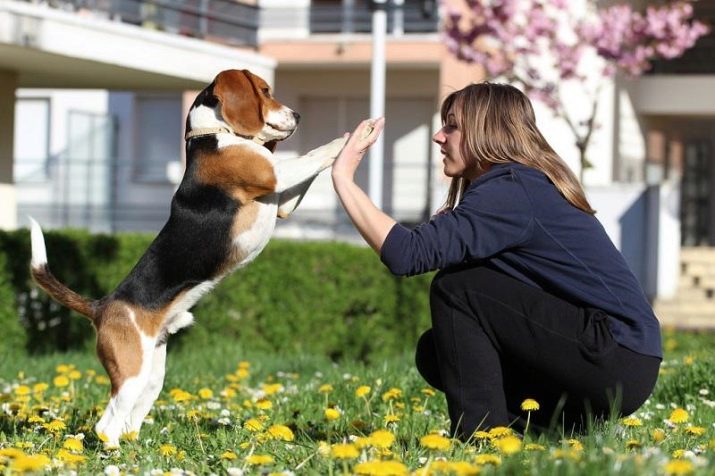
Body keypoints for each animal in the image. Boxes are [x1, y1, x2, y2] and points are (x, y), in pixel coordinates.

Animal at [29, 69, 348, 448]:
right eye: (265, 91)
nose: (297, 116)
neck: (213, 135)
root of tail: (102, 305)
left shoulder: (282, 201)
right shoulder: (274, 174)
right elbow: (315, 154)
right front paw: (354, 134)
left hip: (152, 375)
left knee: (129, 418)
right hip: (131, 371)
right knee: (106, 424)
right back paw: (115, 452)